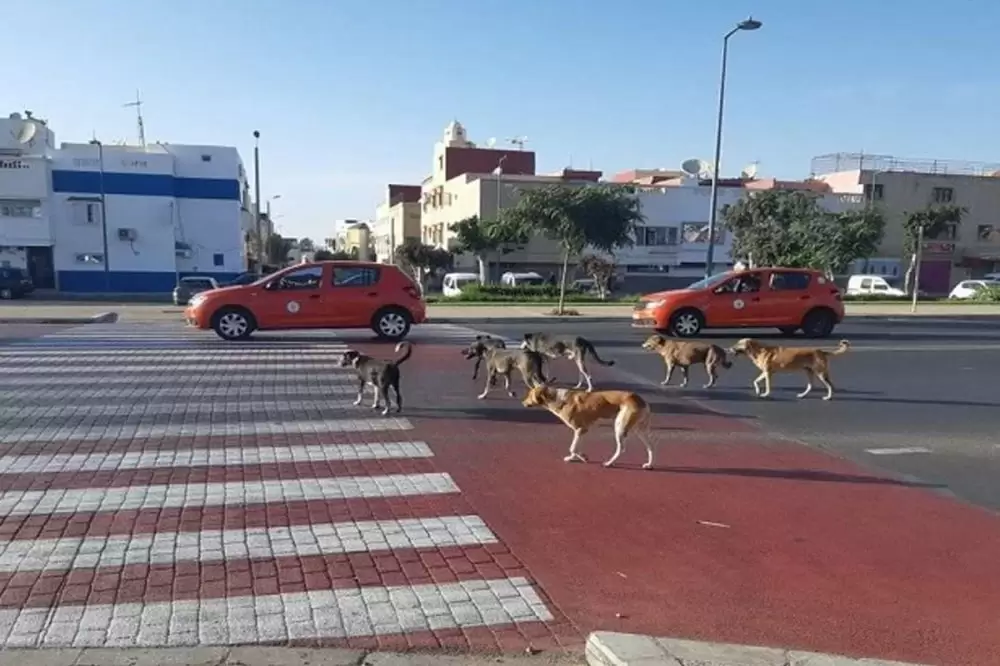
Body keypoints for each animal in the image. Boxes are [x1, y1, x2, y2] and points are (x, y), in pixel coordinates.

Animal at [524, 382, 656, 470]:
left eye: (529, 395)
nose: (522, 402)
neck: (557, 399)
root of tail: (642, 400)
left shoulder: (580, 429)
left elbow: (572, 448)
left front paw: (582, 458)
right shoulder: (582, 431)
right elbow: (575, 447)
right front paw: (574, 458)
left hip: (619, 427)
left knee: (621, 449)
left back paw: (609, 463)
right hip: (639, 431)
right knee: (650, 447)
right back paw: (649, 464)